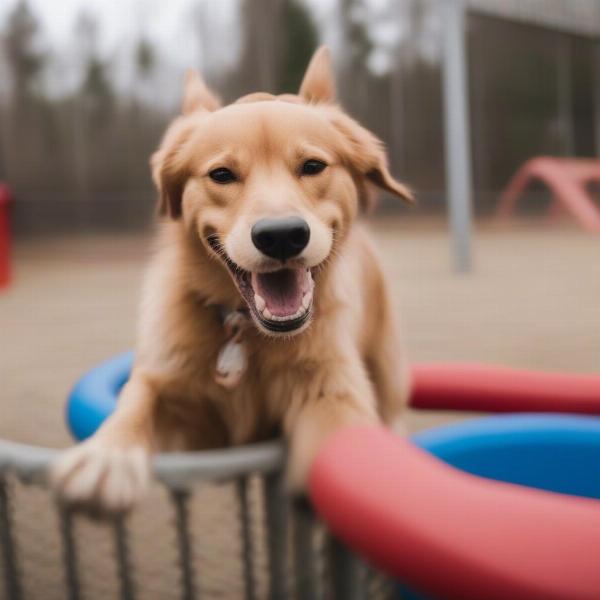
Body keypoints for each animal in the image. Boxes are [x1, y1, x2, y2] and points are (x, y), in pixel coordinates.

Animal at [51, 49, 412, 512]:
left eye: (313, 166)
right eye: (221, 174)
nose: (282, 236)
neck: (249, 333)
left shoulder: (331, 389)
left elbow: (339, 436)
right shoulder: (183, 409)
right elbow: (139, 398)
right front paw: (107, 456)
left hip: (387, 371)